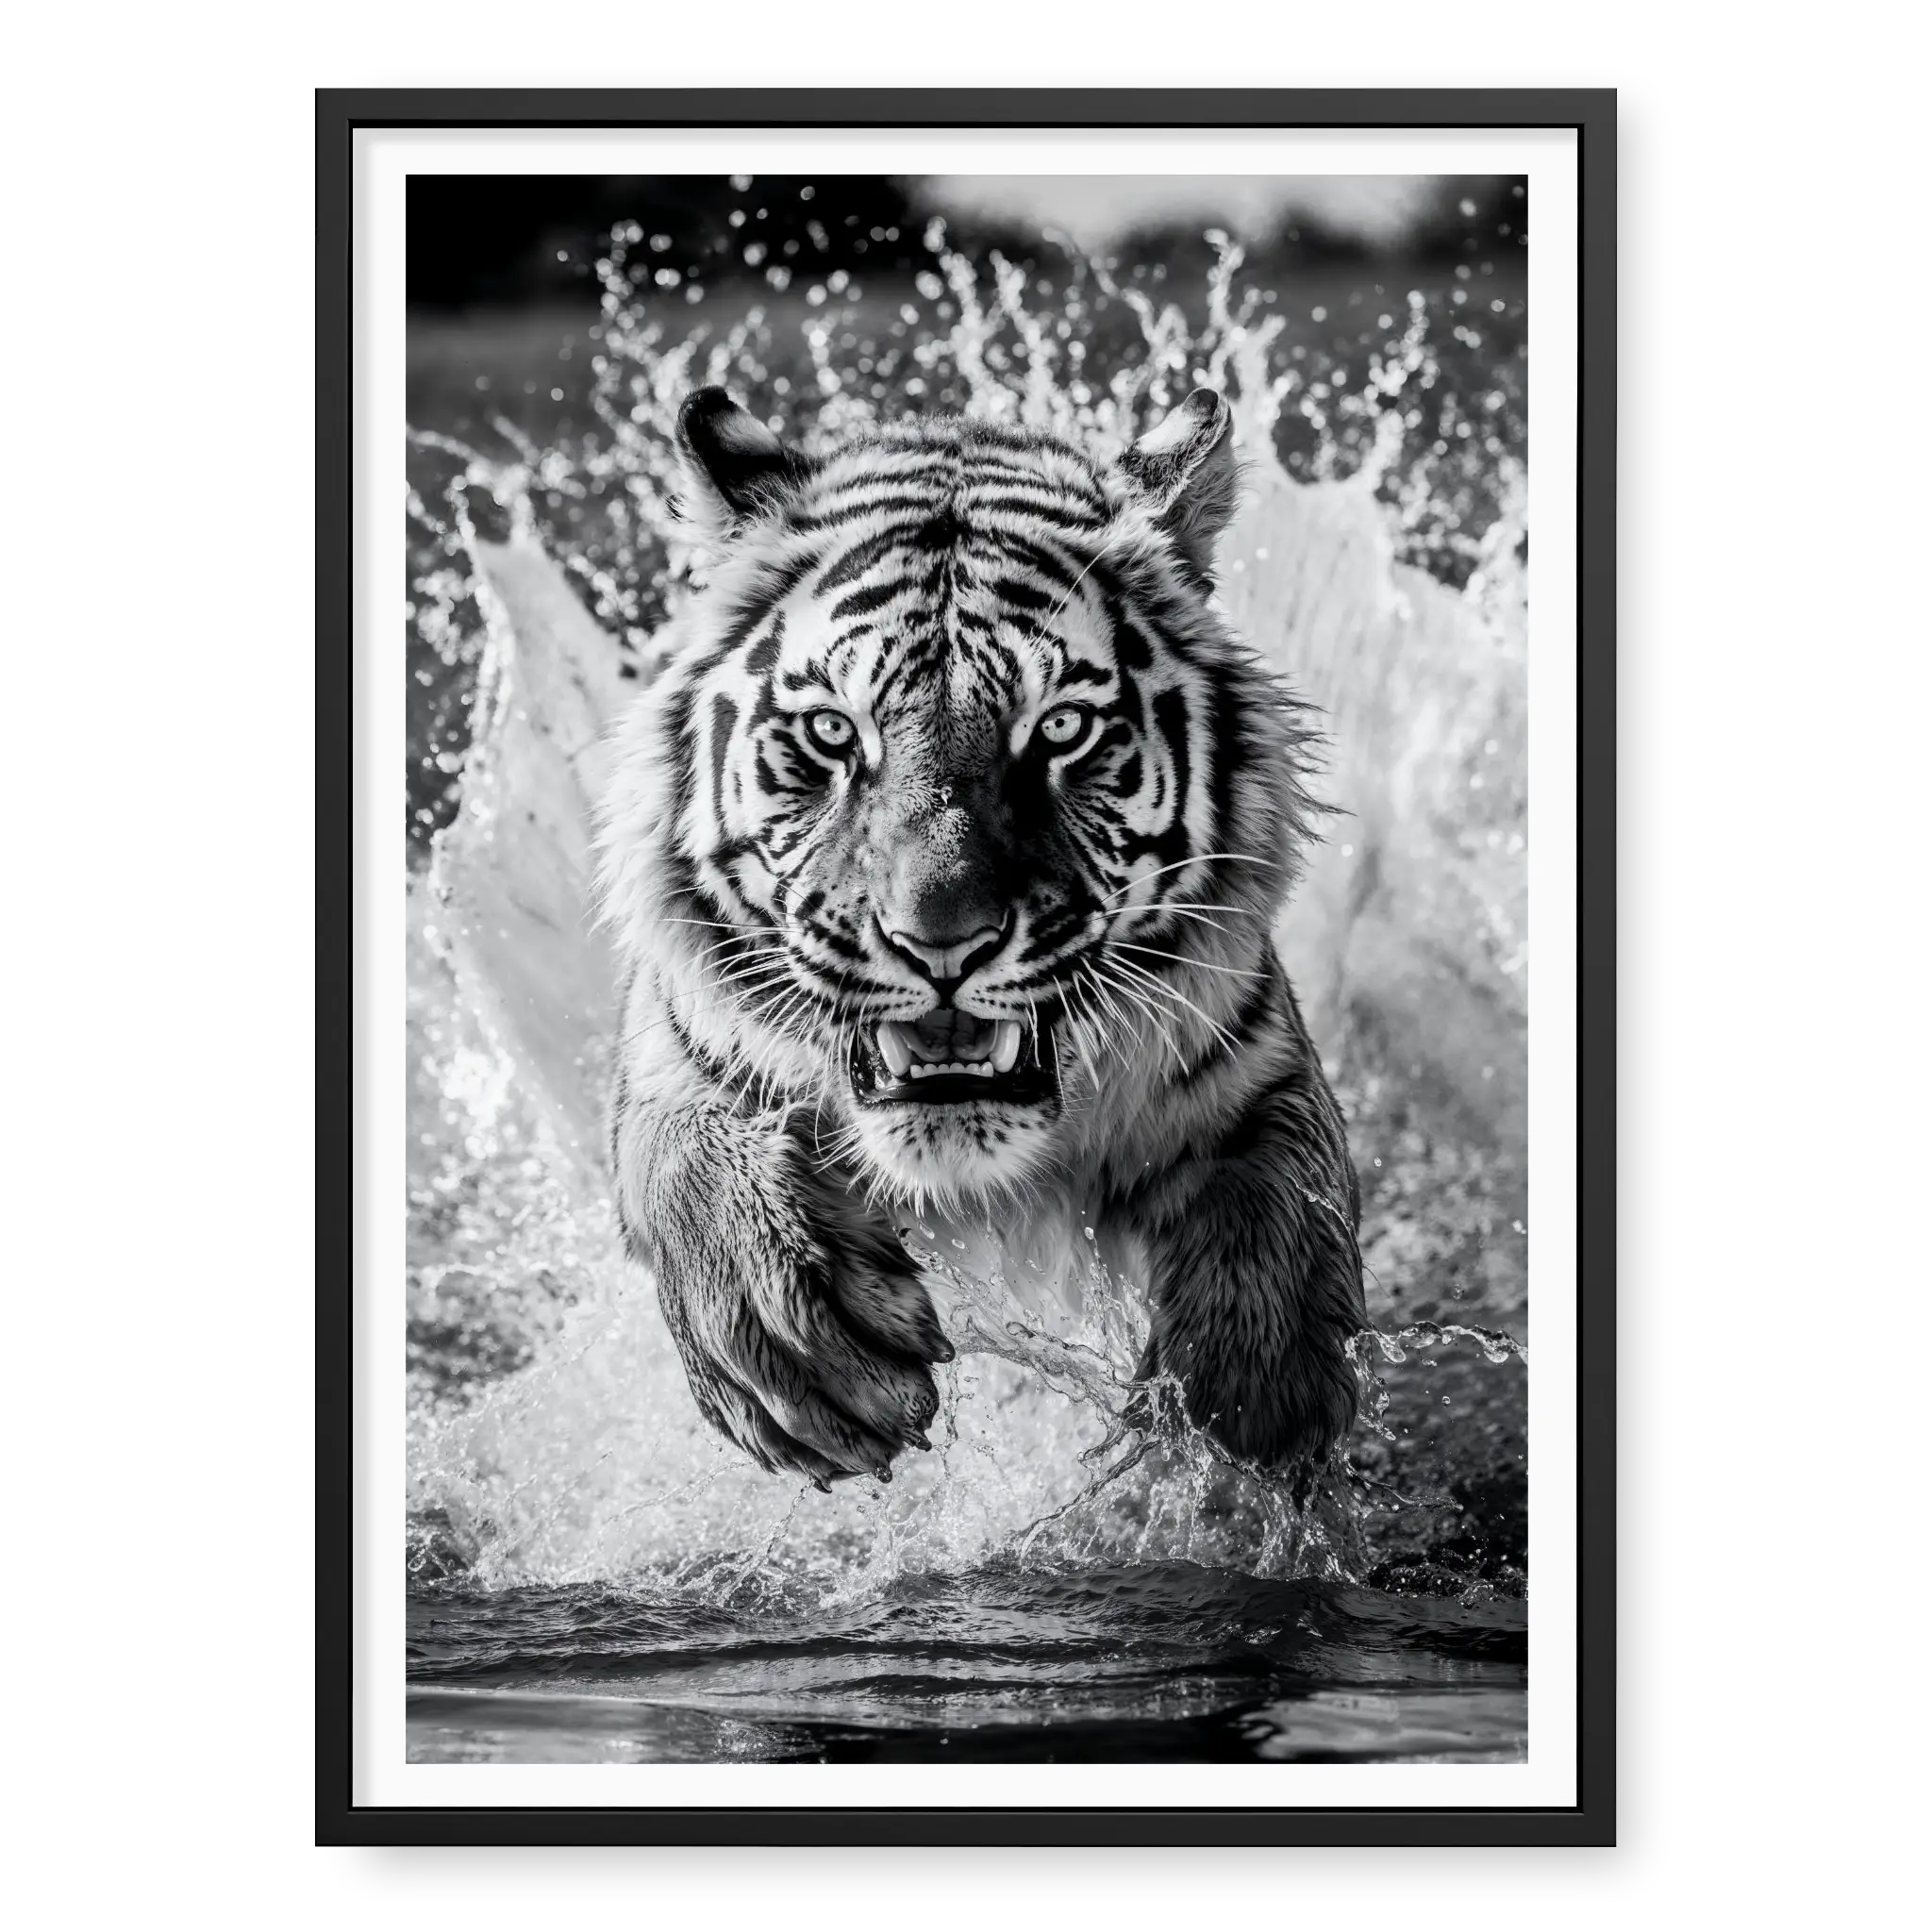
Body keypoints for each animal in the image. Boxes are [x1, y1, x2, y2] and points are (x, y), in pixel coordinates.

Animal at [595, 383, 1366, 1491]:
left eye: (1059, 730)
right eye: (834, 733)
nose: (941, 942)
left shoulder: (1252, 1061)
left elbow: (1281, 1189)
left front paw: (1245, 1400)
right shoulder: (678, 1052)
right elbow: (687, 1160)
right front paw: (805, 1349)